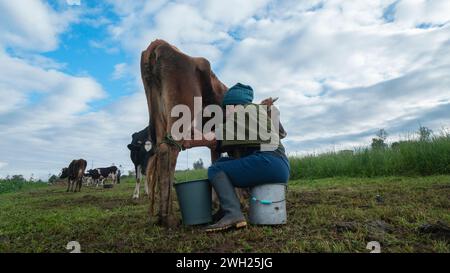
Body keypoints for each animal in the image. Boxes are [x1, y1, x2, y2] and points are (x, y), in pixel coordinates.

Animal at [141, 38, 229, 225]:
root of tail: (159, 44)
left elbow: (215, 160)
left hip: (158, 115)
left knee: (161, 151)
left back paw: (158, 215)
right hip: (181, 110)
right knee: (169, 150)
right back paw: (168, 218)